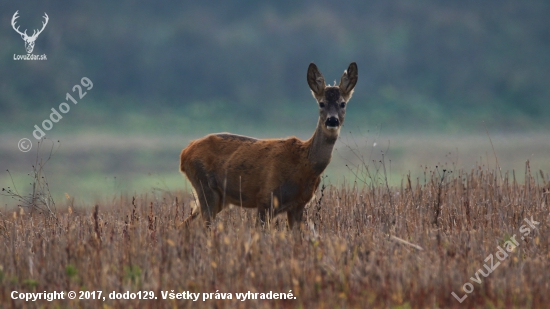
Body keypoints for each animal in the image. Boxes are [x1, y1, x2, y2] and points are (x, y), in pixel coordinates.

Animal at [181, 61, 360, 227]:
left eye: (342, 103)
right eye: (321, 103)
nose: (332, 120)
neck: (304, 164)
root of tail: (185, 153)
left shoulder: (299, 205)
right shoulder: (266, 198)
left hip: (218, 197)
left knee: (184, 223)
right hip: (205, 187)